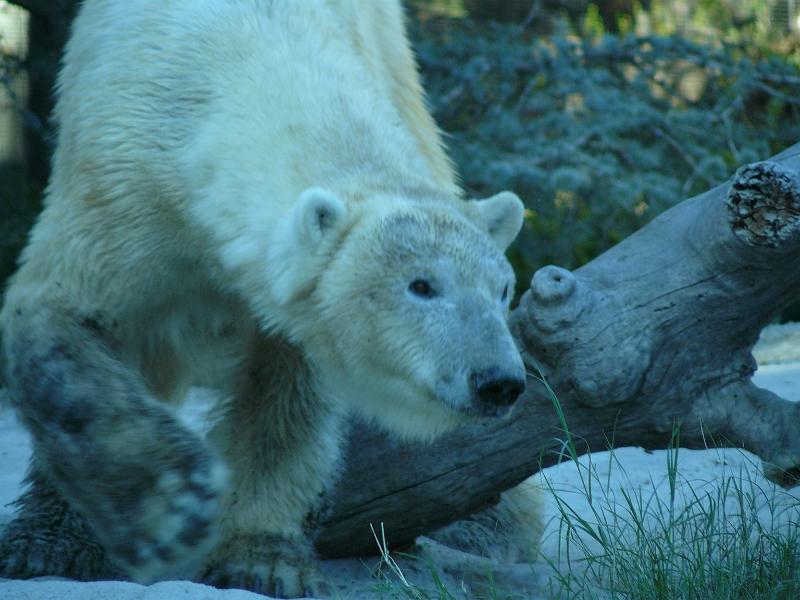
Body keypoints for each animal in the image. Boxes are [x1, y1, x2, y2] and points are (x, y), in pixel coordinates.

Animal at [0, 0, 529, 597]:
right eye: (421, 285)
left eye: (503, 290)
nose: (497, 381)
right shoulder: (121, 184)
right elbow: (63, 314)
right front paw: (169, 506)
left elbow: (284, 410)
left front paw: (266, 560)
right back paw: (46, 540)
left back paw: (486, 525)